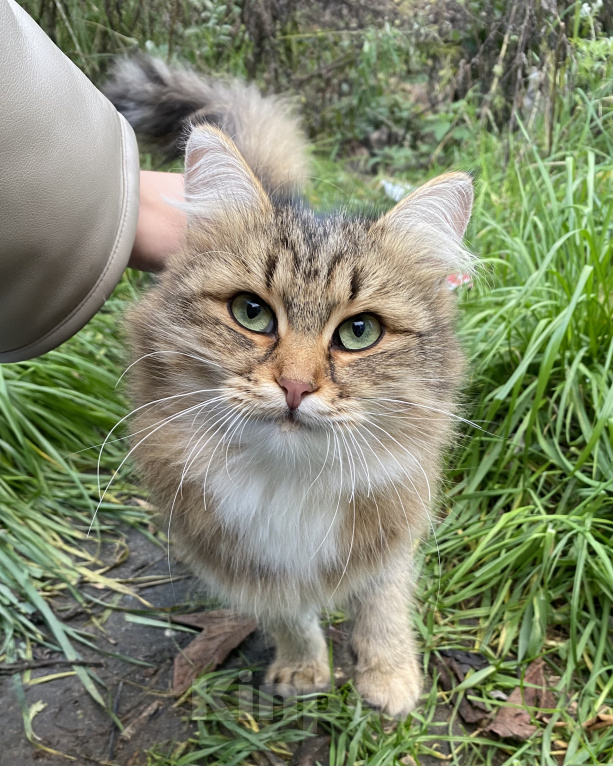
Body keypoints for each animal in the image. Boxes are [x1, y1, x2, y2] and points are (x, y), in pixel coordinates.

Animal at [104, 55, 474, 720]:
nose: (296, 387)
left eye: (359, 331)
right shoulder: (237, 559)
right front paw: (305, 672)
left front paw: (389, 680)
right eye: (251, 313)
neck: (289, 480)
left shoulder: (393, 527)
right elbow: (289, 617)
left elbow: (384, 608)